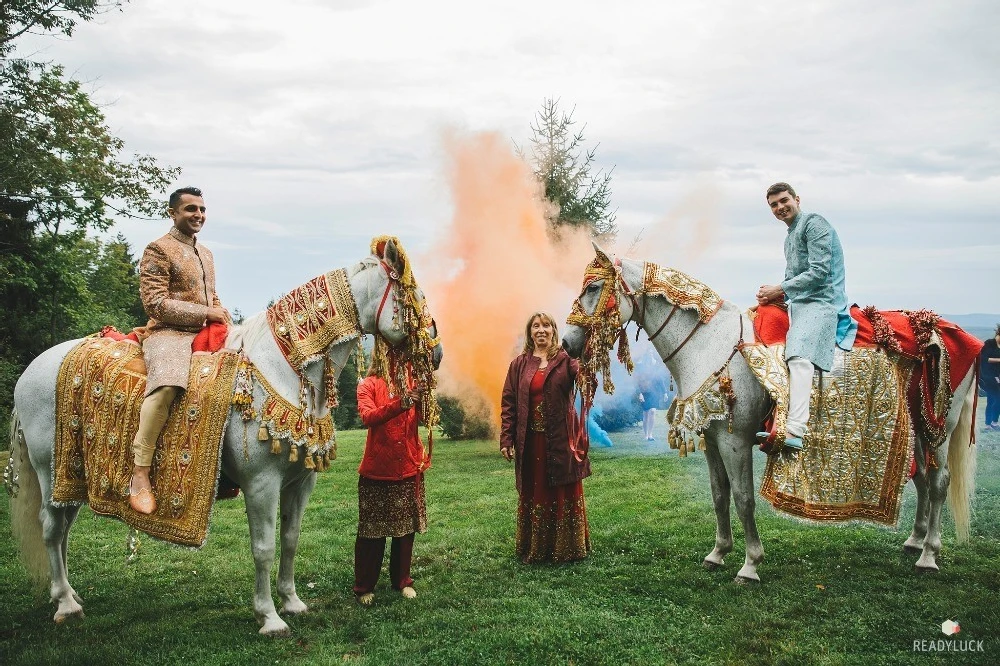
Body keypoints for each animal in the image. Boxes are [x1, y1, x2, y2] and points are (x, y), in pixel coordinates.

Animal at [5, 239, 440, 632]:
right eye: (414, 295)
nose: (436, 354)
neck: (282, 369)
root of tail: (30, 372)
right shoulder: (261, 484)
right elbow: (264, 548)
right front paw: (269, 617)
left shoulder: (300, 482)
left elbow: (291, 539)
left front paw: (292, 602)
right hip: (48, 470)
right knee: (50, 529)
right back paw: (65, 605)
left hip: (71, 477)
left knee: (62, 531)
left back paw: (69, 594)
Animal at [564, 243, 976, 580]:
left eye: (593, 289)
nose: (567, 343)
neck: (710, 344)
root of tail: (943, 328)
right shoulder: (713, 439)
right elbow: (719, 496)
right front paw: (718, 552)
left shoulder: (735, 441)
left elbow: (744, 498)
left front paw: (750, 563)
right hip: (917, 429)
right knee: (922, 479)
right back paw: (914, 541)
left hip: (940, 430)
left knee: (939, 483)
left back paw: (929, 555)